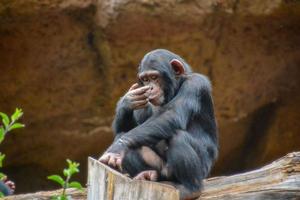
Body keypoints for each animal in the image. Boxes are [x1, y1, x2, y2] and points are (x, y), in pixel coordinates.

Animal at [99, 48, 219, 200]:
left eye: (154, 77)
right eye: (145, 79)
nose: (150, 87)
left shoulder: (195, 84)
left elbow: (170, 114)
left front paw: (117, 148)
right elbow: (125, 128)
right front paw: (128, 100)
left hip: (201, 169)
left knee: (178, 137)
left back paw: (191, 188)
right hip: (161, 169)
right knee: (124, 136)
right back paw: (149, 175)